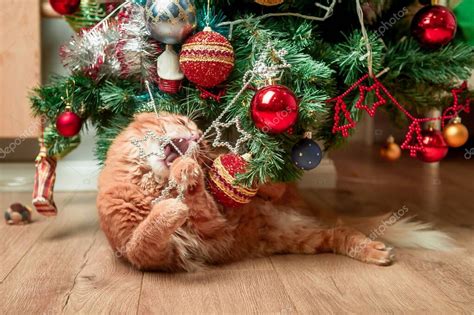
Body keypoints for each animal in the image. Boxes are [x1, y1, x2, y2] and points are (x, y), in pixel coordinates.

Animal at [97, 113, 452, 272]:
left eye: (200, 134)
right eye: (183, 122)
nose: (198, 137)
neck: (155, 184)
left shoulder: (212, 221)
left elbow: (197, 197)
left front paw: (190, 170)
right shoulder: (148, 254)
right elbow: (147, 234)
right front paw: (173, 204)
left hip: (283, 199)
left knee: (275, 185)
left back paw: (254, 163)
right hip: (309, 239)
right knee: (342, 234)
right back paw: (376, 251)